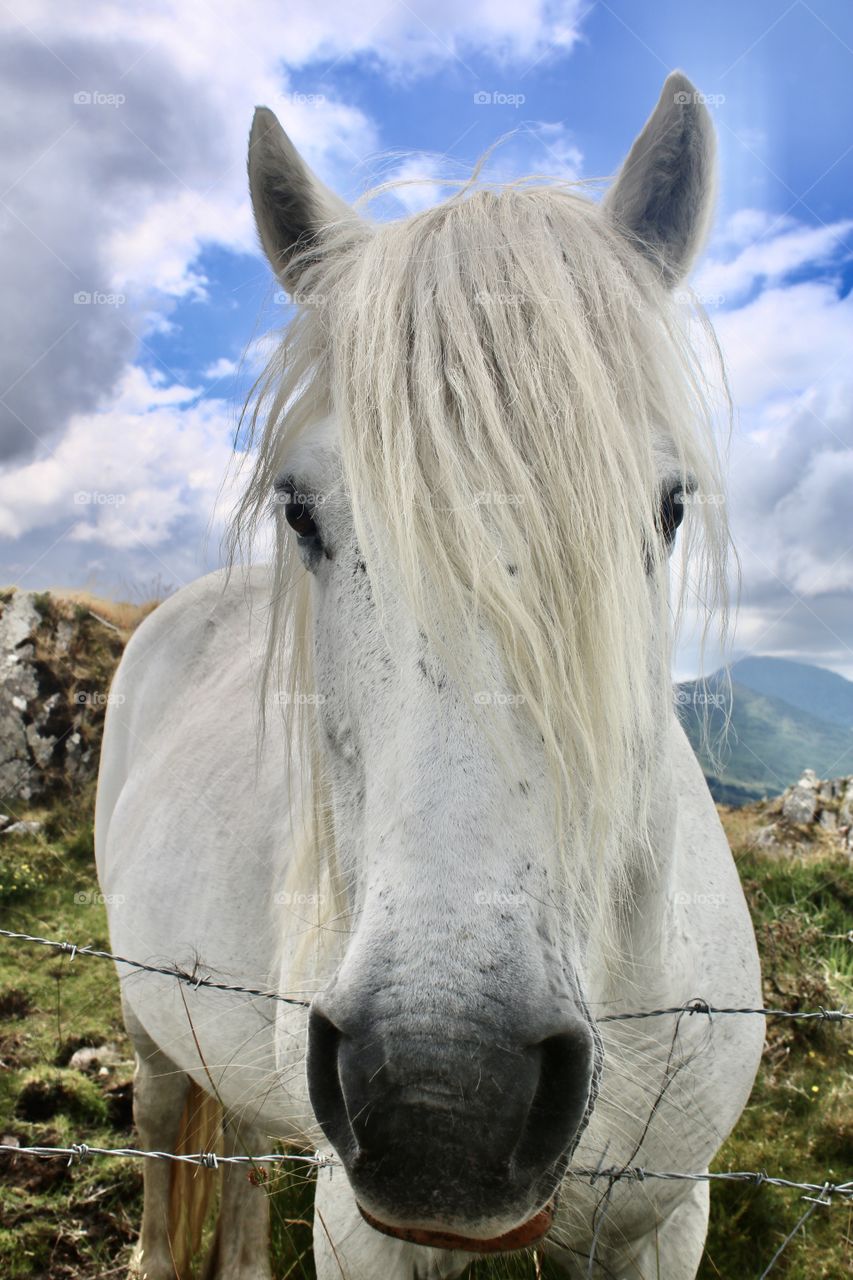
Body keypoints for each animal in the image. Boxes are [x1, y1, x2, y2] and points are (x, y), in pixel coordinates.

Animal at [95, 70, 763, 1279]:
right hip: (148, 1013)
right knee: (166, 1131)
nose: (442, 1097)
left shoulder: (667, 1217)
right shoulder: (362, 1229)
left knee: (240, 1147)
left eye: (668, 508)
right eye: (299, 509)